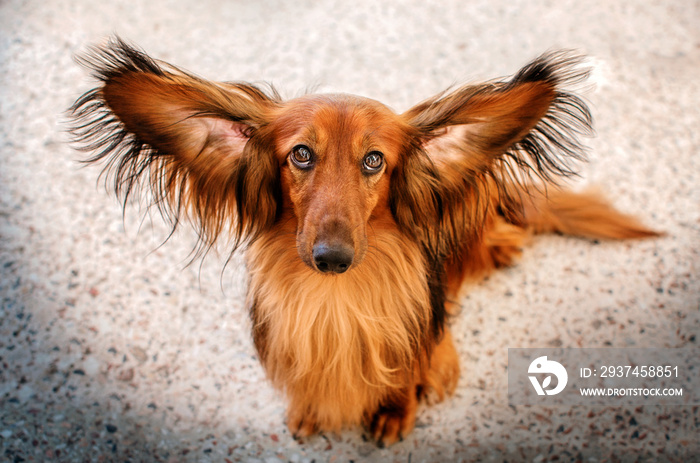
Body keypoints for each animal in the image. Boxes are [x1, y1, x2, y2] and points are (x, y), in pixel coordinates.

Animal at [69, 39, 656, 446]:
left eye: (374, 160)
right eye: (301, 154)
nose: (333, 259)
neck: (337, 302)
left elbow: (408, 364)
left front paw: (398, 405)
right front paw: (310, 406)